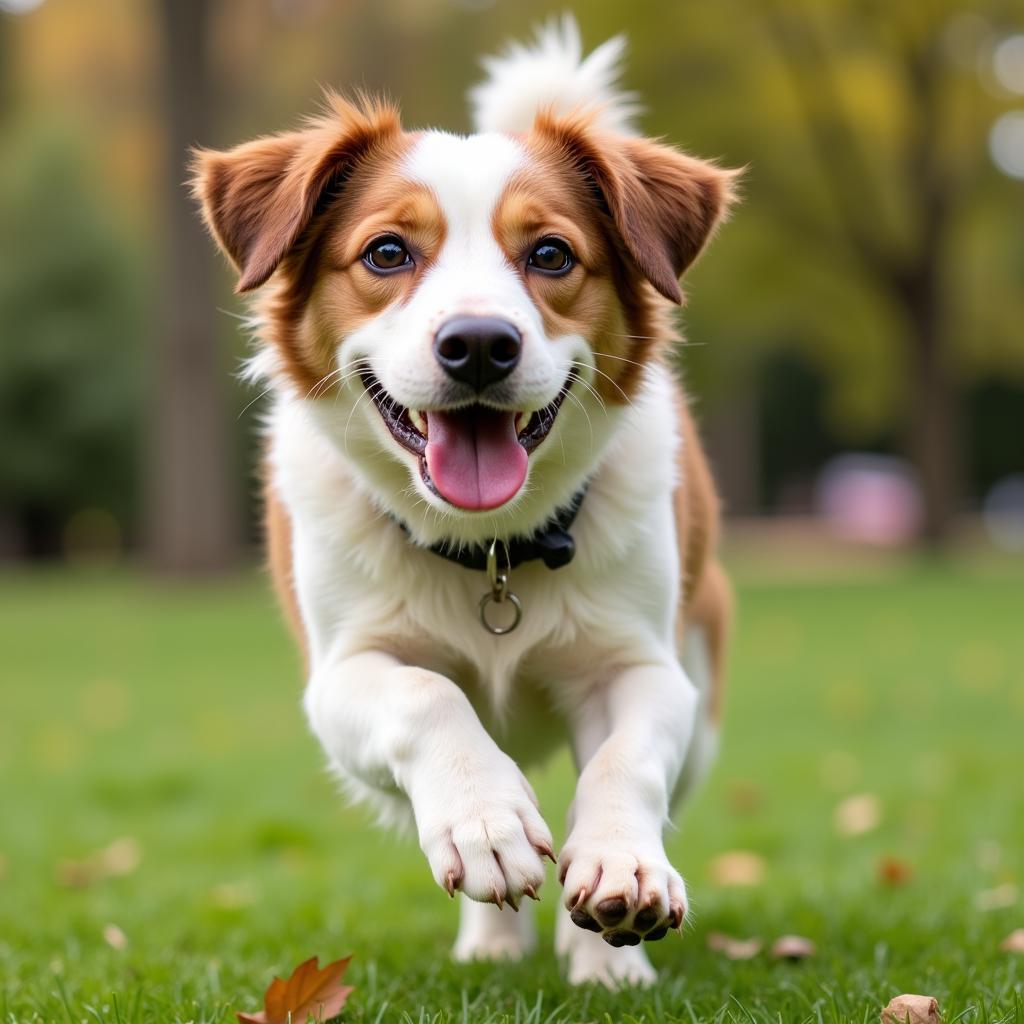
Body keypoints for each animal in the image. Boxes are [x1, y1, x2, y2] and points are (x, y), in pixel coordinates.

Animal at [192, 16, 737, 987]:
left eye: (551, 254)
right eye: (387, 253)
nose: (479, 343)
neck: (490, 550)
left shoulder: (648, 669)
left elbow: (624, 762)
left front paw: (620, 871)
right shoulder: (341, 678)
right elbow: (427, 698)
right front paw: (485, 824)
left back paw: (598, 955)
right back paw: (493, 936)